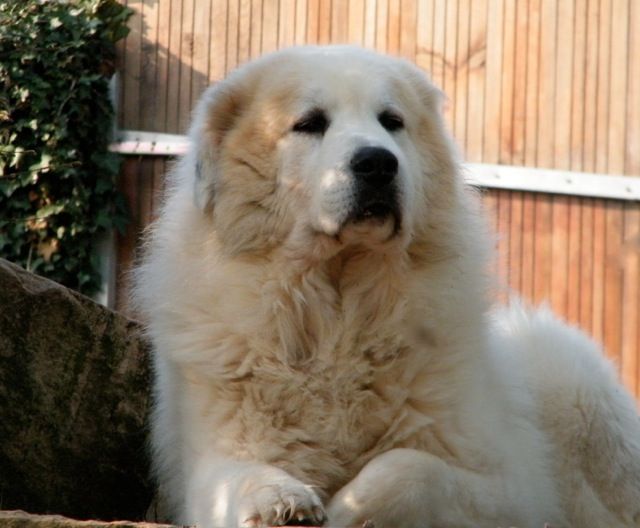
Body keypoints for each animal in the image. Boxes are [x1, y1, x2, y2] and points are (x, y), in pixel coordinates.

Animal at [134, 47, 640, 524]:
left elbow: (410, 467)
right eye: (310, 123)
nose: (377, 162)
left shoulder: (510, 488)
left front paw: (347, 509)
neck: (340, 310)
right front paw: (281, 500)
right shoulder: (210, 460)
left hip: (571, 375)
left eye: (391, 121)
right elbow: (235, 477)